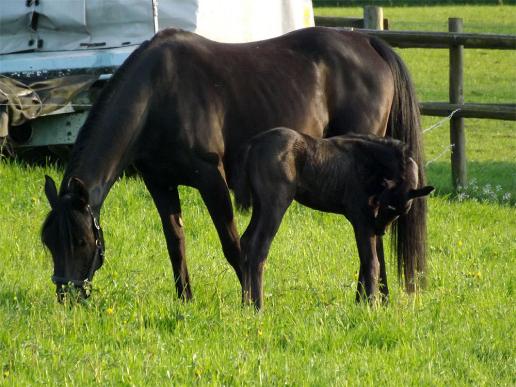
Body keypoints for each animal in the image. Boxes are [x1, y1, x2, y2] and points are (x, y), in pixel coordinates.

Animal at [234, 129, 432, 310]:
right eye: (387, 204)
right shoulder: (362, 219)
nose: (380, 229)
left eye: (400, 211)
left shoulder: (369, 222)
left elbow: (366, 260)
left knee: (246, 241)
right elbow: (372, 262)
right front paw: (371, 306)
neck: (370, 164)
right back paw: (258, 307)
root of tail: (254, 144)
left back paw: (245, 305)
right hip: (275, 205)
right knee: (259, 249)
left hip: (260, 206)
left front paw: (361, 303)